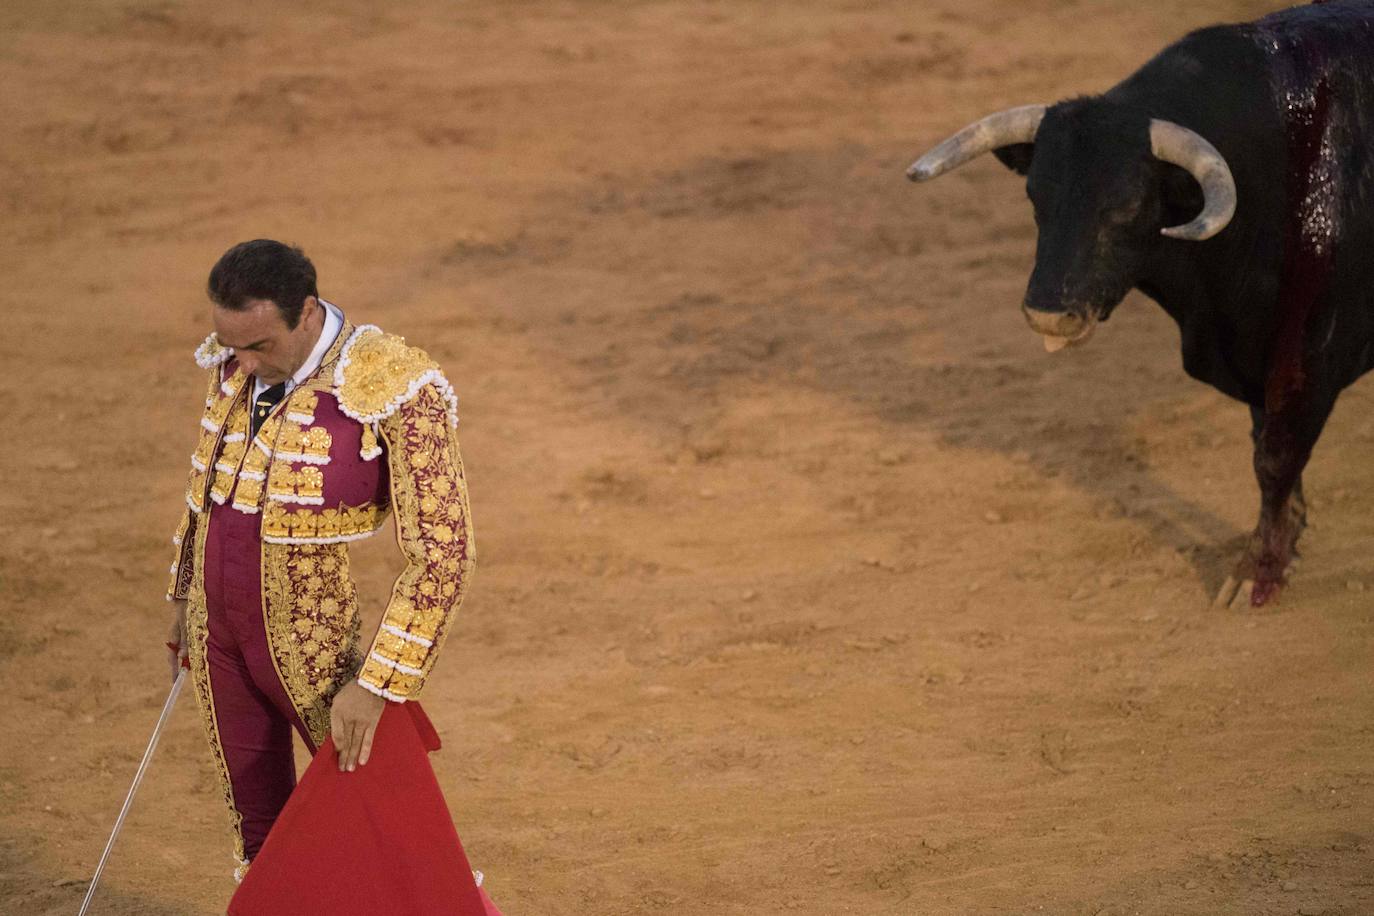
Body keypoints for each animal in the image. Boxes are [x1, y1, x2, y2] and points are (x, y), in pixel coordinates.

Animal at [906, 0, 1374, 609]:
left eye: (1127, 204)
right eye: (1035, 195)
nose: (1048, 314)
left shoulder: (1308, 355)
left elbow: (1275, 457)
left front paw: (1259, 571)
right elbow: (1267, 449)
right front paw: (1287, 542)